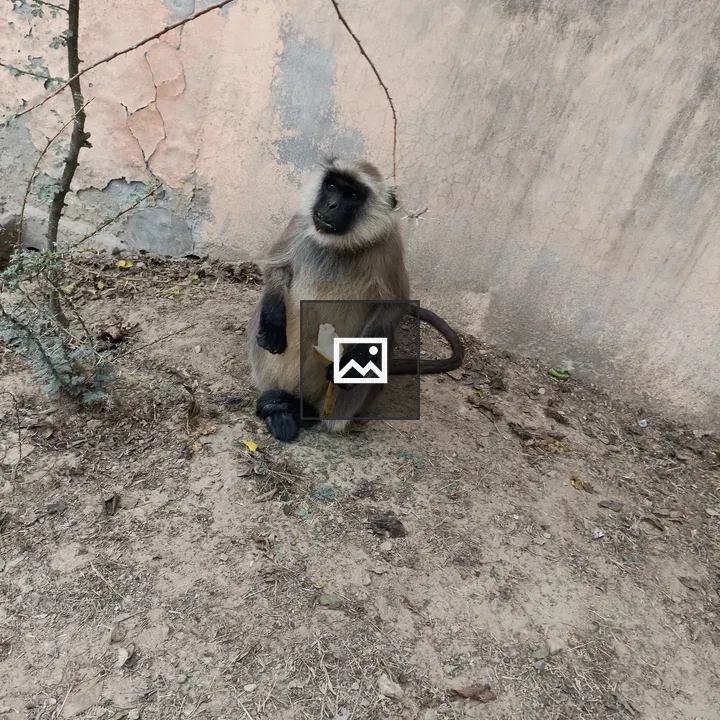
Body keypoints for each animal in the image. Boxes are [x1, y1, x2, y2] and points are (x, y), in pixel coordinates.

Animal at [247, 156, 463, 442]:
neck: (339, 244)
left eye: (351, 195)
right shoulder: (300, 223)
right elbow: (276, 269)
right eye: (331, 186)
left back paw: (308, 414)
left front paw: (350, 367)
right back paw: (282, 408)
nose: (331, 204)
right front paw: (273, 323)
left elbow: (394, 307)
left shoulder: (389, 246)